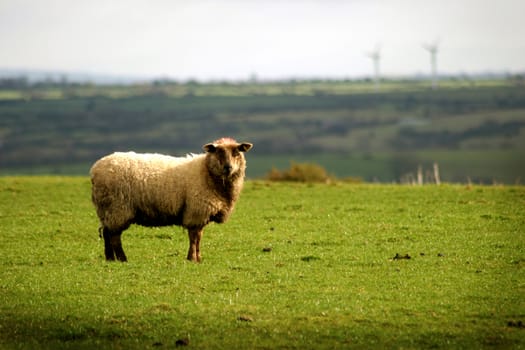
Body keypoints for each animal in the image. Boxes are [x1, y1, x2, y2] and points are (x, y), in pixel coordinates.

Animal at [89, 138, 252, 262]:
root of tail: (95, 169)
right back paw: (122, 259)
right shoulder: (196, 212)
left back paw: (110, 258)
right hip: (117, 208)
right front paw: (192, 259)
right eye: (218, 152)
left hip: (106, 209)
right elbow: (194, 238)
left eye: (237, 152)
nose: (228, 167)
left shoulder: (201, 214)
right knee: (115, 236)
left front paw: (198, 258)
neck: (206, 172)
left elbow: (199, 238)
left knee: (107, 233)